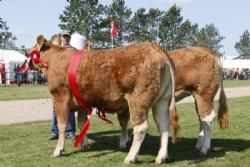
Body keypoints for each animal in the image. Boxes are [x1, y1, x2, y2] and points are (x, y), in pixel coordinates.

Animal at [28, 34, 178, 164]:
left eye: (31, 51)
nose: (26, 61)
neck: (55, 59)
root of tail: (154, 47)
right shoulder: (82, 102)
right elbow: (82, 123)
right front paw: (85, 144)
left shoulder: (60, 97)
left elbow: (62, 125)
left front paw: (58, 150)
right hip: (162, 100)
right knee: (163, 124)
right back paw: (161, 157)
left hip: (139, 99)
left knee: (141, 127)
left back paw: (130, 157)